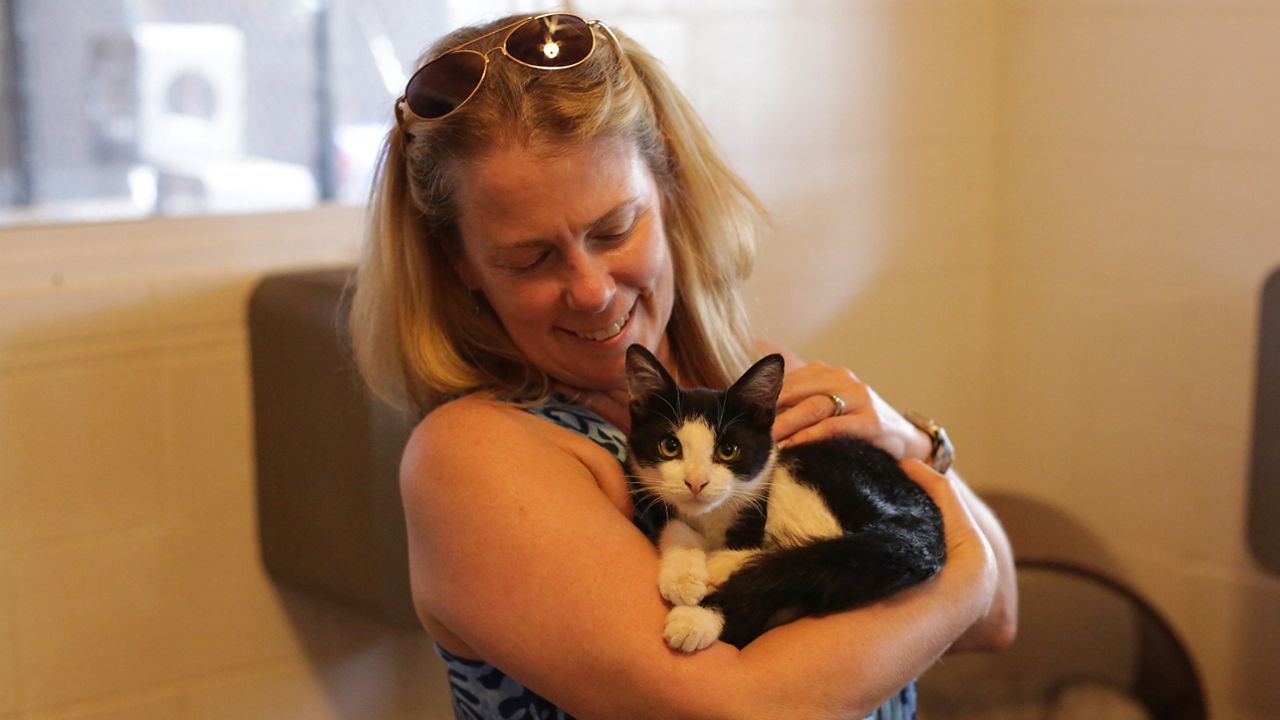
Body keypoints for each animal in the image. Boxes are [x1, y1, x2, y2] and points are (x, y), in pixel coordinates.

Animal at [624, 340, 947, 650]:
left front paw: (696, 616)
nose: (696, 482)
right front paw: (683, 575)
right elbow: (674, 522)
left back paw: (723, 567)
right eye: (669, 446)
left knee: (828, 552)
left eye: (728, 450)